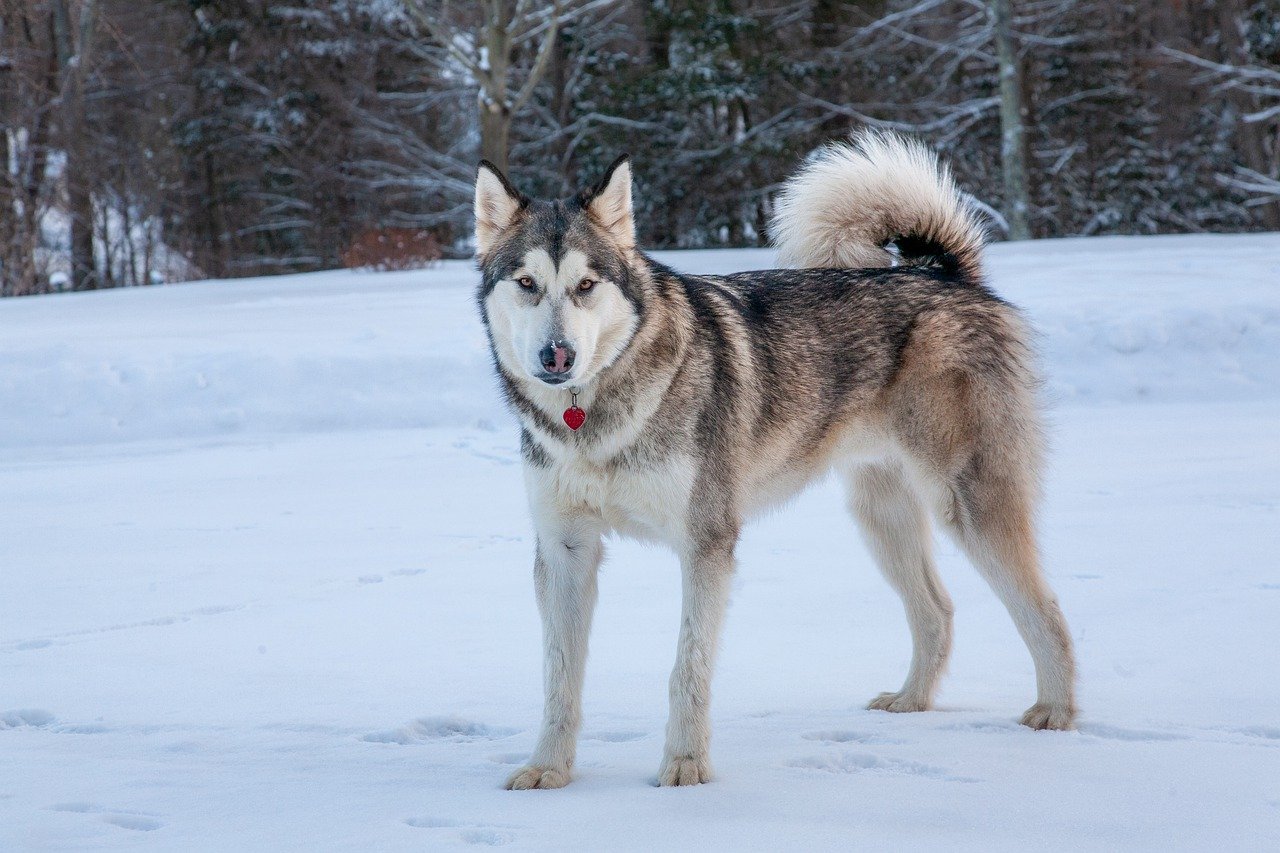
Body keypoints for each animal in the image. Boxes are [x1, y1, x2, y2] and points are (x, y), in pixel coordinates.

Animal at [476, 129, 1075, 788]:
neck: (591, 417)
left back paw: (1055, 712)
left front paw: (685, 767)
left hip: (967, 505)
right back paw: (910, 702)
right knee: (937, 610)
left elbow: (686, 670)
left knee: (1045, 608)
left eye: (586, 285)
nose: (556, 356)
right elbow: (559, 679)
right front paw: (548, 770)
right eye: (526, 283)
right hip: (881, 516)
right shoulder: (565, 549)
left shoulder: (706, 543)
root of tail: (945, 275)